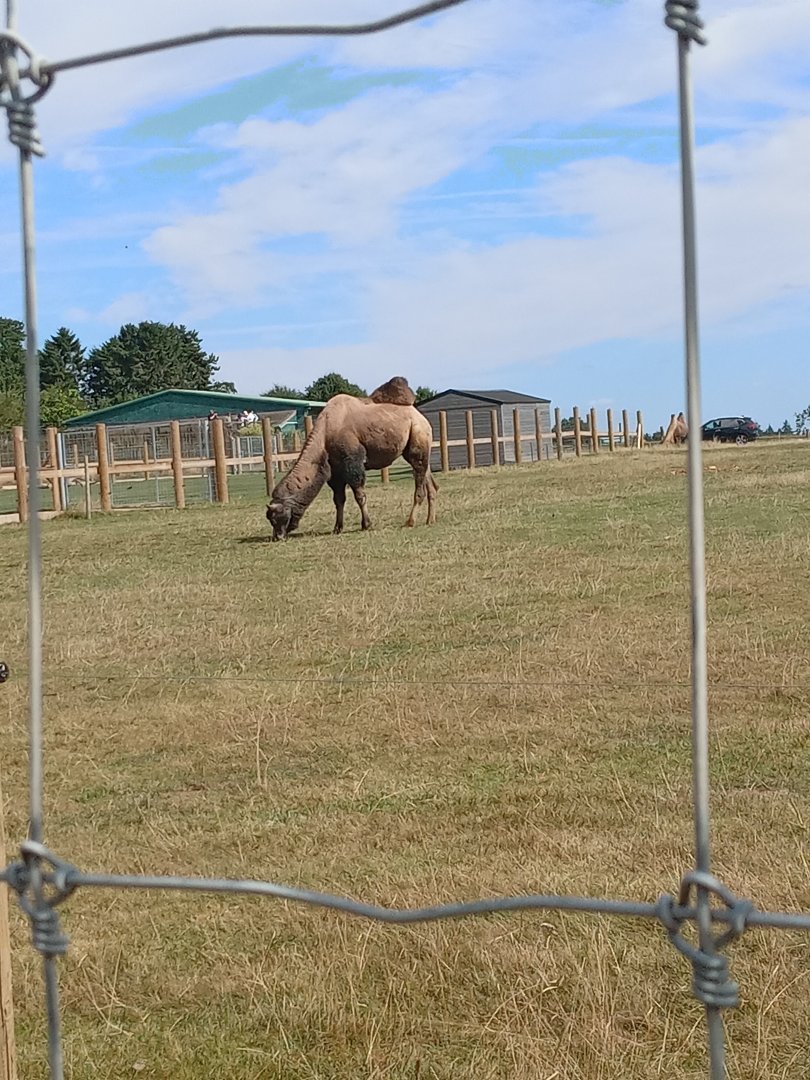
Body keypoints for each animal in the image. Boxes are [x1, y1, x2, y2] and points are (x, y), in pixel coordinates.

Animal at [266, 384, 437, 541]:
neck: (325, 435)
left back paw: (410, 522)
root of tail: (423, 420)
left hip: (417, 438)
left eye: (277, 516)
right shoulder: (335, 472)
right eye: (270, 519)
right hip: (417, 450)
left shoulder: (353, 464)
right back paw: (430, 520)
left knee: (419, 486)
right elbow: (339, 500)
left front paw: (366, 525)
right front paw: (337, 528)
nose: (277, 537)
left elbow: (360, 495)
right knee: (430, 482)